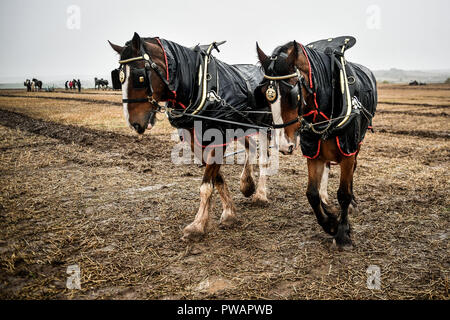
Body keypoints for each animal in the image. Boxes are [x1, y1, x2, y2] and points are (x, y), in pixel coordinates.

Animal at [108, 33, 274, 241]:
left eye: (139, 77)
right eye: (118, 78)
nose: (134, 123)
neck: (200, 85)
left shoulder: (219, 137)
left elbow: (206, 185)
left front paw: (197, 225)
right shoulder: (194, 139)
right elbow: (217, 179)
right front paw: (229, 213)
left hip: (265, 126)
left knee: (264, 158)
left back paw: (260, 194)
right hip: (241, 125)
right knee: (250, 145)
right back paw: (247, 184)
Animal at [255, 38, 378, 248]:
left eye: (293, 93)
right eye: (264, 93)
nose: (283, 145)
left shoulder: (347, 150)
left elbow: (343, 193)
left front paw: (343, 233)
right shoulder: (314, 153)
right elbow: (312, 194)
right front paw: (330, 224)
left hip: (358, 143)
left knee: (353, 170)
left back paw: (352, 202)